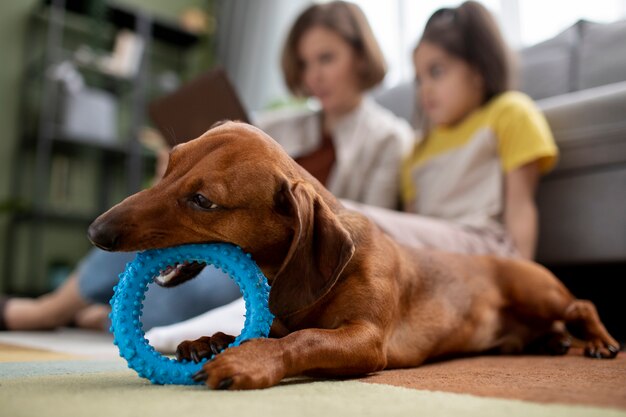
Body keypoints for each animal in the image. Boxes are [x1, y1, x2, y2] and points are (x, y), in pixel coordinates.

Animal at [86, 120, 616, 390]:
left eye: (203, 201)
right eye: (169, 165)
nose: (96, 232)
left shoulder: (366, 340)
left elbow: (304, 340)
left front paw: (248, 361)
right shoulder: (280, 319)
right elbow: (268, 331)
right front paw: (209, 341)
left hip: (538, 292)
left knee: (581, 305)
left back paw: (597, 343)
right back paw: (553, 342)